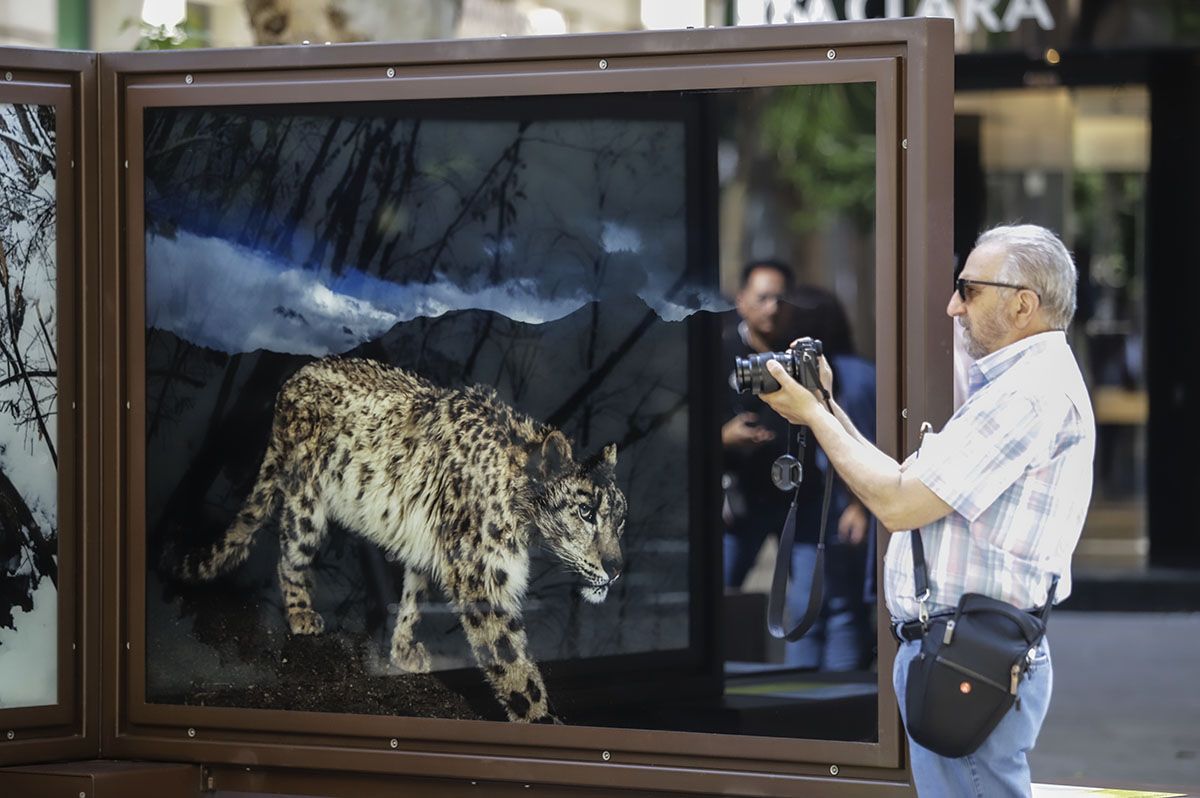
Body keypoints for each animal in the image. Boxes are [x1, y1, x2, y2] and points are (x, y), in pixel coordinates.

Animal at [180, 355, 628, 720]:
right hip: (305, 500)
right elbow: (513, 665)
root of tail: (293, 379)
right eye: (586, 512)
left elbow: (414, 598)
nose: (617, 567)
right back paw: (302, 615)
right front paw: (540, 719)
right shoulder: (483, 578)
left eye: (621, 519)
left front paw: (403, 651)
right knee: (290, 552)